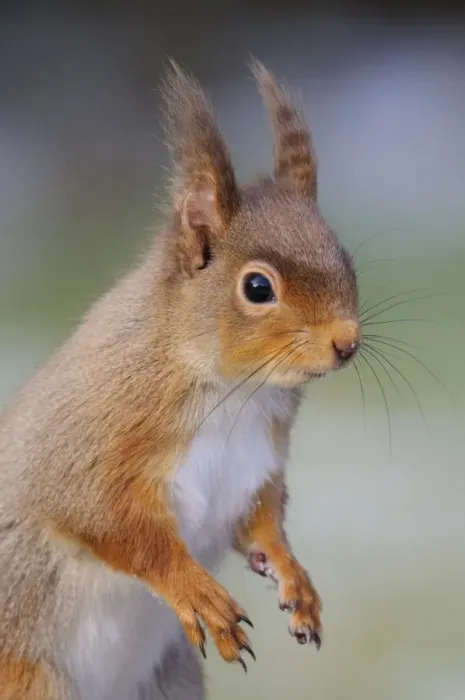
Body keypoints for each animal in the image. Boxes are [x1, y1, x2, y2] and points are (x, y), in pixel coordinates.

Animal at [0, 59, 360, 700]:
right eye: (258, 287)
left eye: (348, 260)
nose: (348, 343)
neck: (236, 390)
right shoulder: (91, 437)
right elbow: (104, 519)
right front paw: (196, 592)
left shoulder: (256, 466)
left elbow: (261, 522)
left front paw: (293, 579)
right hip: (30, 673)